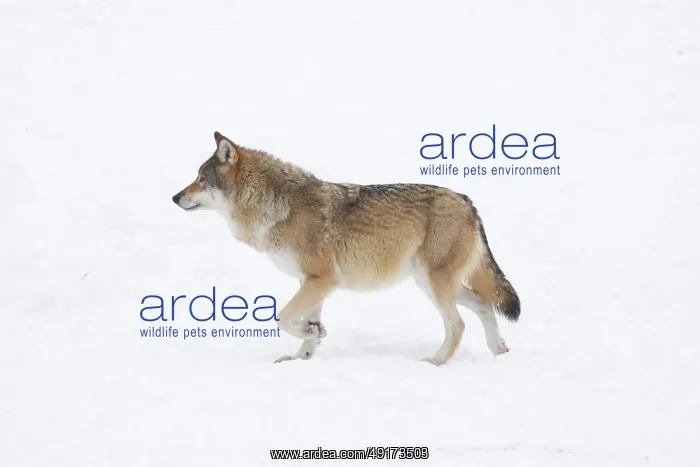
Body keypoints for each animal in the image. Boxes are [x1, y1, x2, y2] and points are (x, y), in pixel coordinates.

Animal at [172, 132, 520, 365]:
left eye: (201, 179)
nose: (175, 197)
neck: (276, 206)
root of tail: (467, 201)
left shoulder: (322, 279)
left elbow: (282, 318)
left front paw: (310, 335)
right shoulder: (312, 282)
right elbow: (301, 323)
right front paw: (305, 352)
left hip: (435, 284)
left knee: (458, 324)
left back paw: (436, 362)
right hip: (430, 282)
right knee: (484, 305)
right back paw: (499, 351)